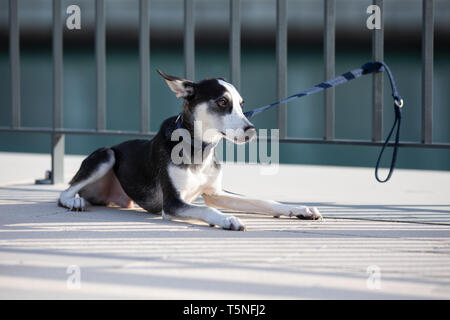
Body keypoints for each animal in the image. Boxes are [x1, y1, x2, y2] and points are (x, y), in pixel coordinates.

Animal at [58, 70, 322, 230]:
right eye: (222, 102)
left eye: (241, 104)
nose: (251, 131)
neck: (199, 149)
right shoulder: (173, 203)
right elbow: (206, 208)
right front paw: (227, 218)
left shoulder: (215, 192)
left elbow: (261, 200)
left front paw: (299, 209)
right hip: (106, 155)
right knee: (65, 192)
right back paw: (76, 202)